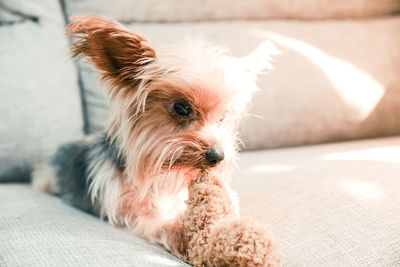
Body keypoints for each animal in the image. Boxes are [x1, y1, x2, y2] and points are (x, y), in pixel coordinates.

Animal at [32, 16, 278, 251]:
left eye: (223, 117)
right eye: (181, 108)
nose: (217, 157)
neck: (158, 177)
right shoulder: (130, 214)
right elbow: (157, 224)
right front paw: (185, 231)